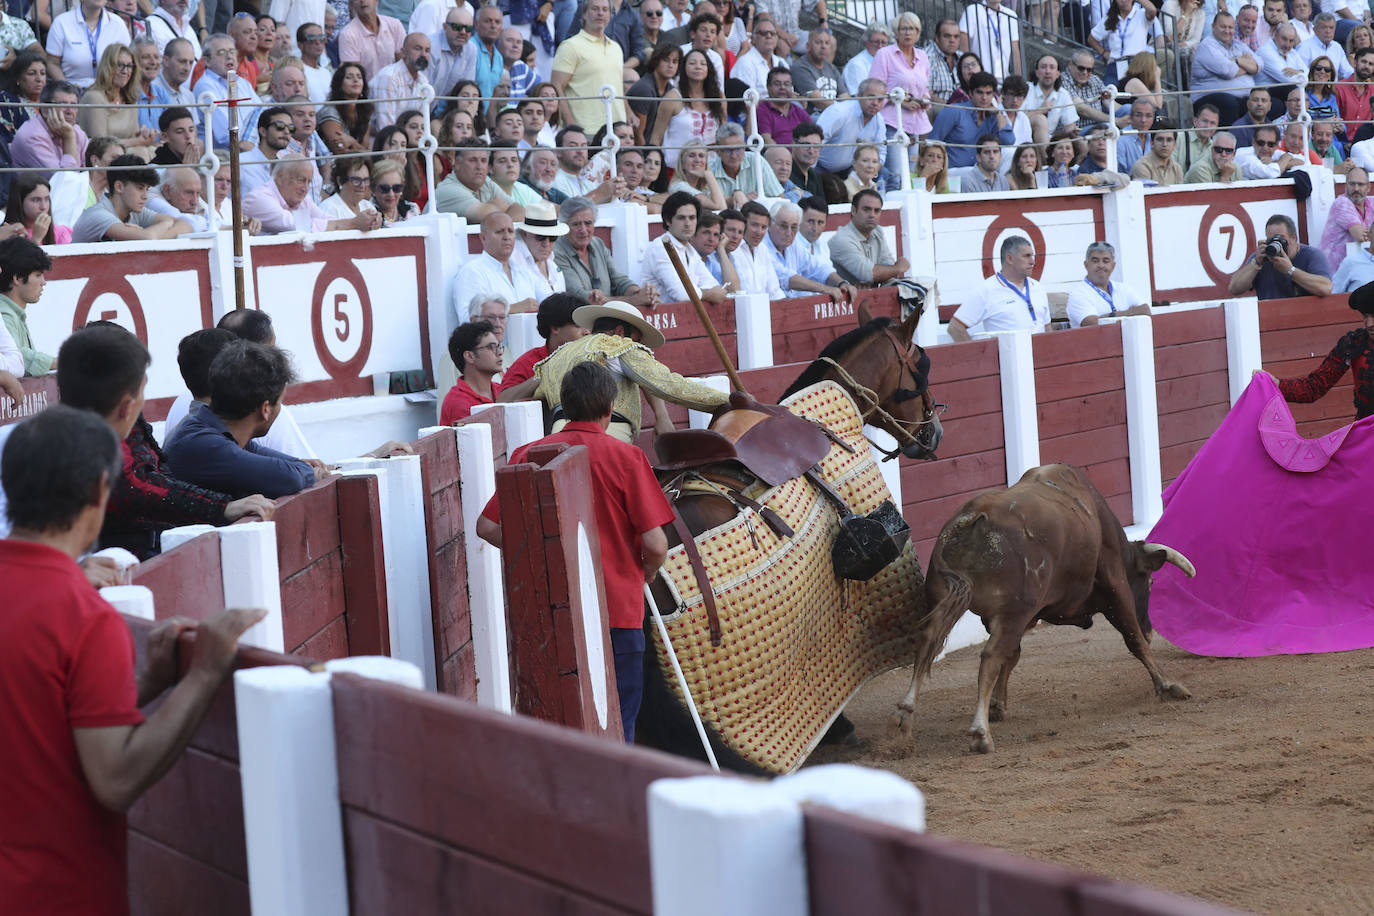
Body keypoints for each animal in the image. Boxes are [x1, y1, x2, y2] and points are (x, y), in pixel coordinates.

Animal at [890, 461, 1192, 758]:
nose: (1151, 631)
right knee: (989, 657)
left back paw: (906, 720)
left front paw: (997, 704)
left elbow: (1013, 656)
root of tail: (972, 517)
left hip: (945, 600)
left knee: (928, 643)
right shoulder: (1114, 583)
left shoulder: (1013, 617)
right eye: (1149, 581)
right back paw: (980, 734)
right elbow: (1133, 639)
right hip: (1015, 611)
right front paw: (1167, 686)